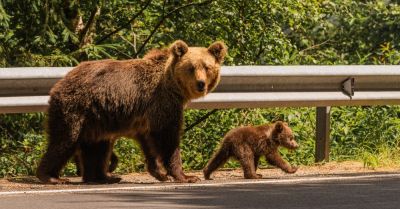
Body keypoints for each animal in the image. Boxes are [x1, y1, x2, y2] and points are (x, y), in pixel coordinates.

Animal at [36, 40, 228, 184]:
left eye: (207, 67)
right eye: (191, 67)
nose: (200, 84)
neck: (173, 87)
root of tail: (60, 82)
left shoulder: (145, 116)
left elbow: (148, 141)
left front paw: (160, 173)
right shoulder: (163, 103)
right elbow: (167, 137)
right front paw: (185, 176)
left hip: (97, 117)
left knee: (97, 146)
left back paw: (103, 177)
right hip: (75, 108)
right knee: (65, 139)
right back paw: (51, 177)